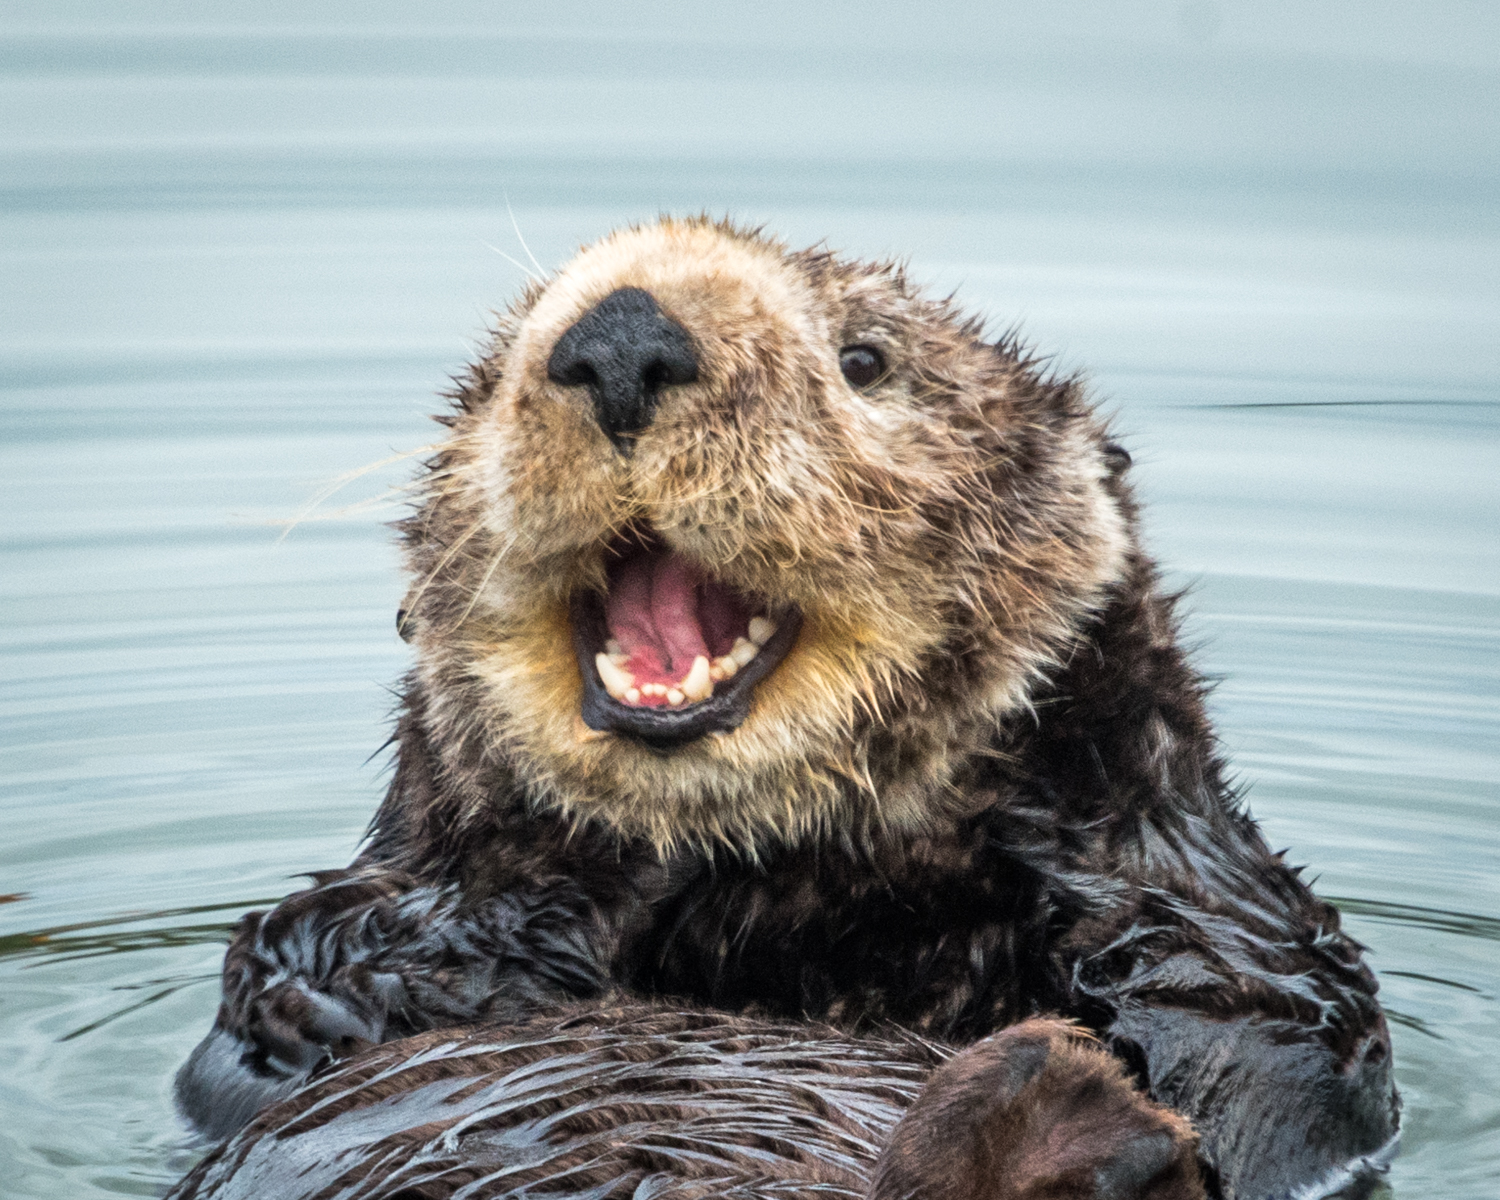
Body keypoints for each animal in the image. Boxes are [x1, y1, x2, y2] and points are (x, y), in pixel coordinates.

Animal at [176, 219, 1399, 1199]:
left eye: (865, 359)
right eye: (516, 340)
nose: (620, 334)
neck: (799, 914)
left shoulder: (1224, 920)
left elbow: (1251, 1015)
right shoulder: (328, 964)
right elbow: (331, 967)